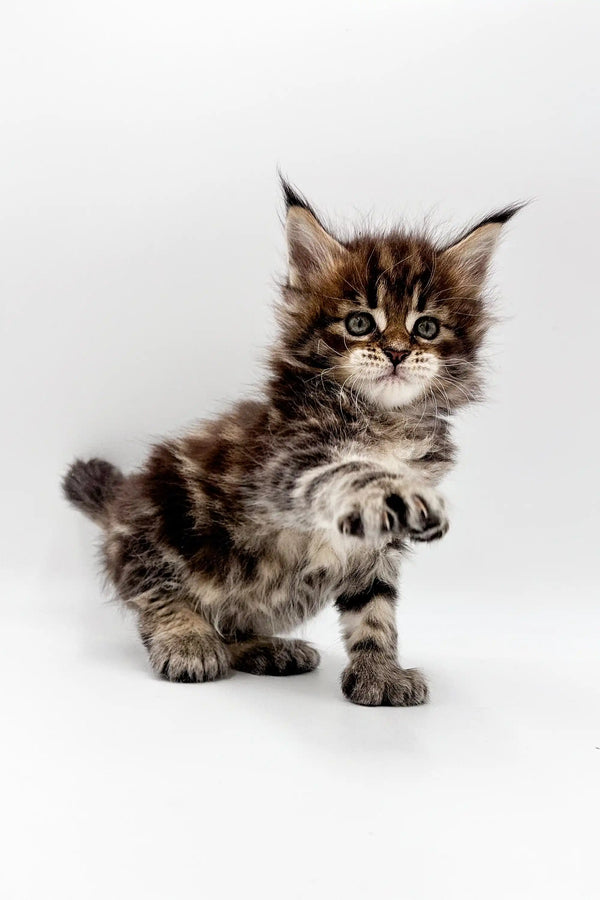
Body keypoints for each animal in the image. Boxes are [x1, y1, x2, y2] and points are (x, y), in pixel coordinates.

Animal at [62, 181, 520, 704]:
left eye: (426, 327)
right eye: (360, 323)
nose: (397, 352)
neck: (383, 420)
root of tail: (121, 503)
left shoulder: (374, 550)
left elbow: (374, 609)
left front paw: (379, 673)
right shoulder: (285, 464)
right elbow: (349, 471)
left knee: (230, 622)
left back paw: (266, 649)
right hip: (162, 522)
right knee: (157, 592)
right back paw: (188, 641)